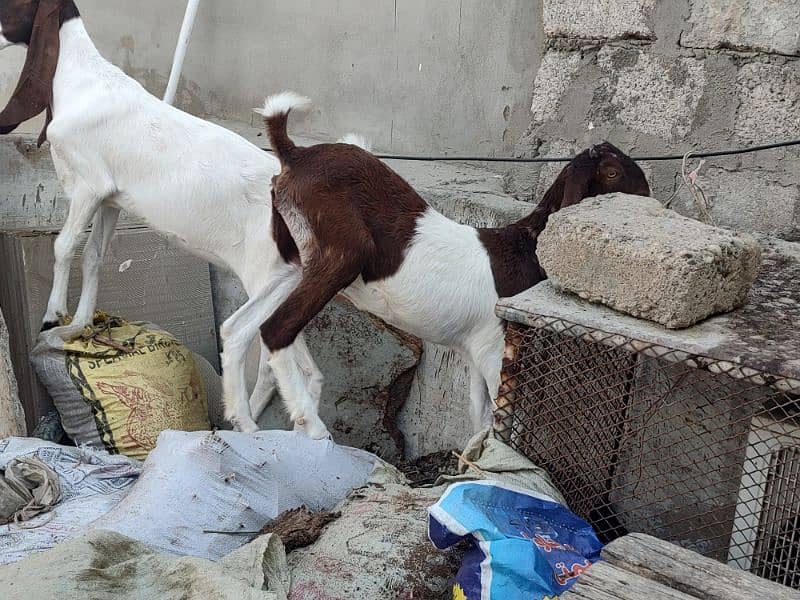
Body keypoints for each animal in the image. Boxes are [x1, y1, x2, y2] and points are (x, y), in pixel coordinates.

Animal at [0, 2, 330, 438]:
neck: (83, 79)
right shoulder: (110, 198)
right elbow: (93, 256)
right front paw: (76, 327)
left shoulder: (90, 184)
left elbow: (63, 245)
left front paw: (52, 316)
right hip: (286, 284)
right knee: (303, 363)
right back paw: (307, 436)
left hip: (272, 275)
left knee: (244, 335)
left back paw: (251, 425)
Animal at [253, 92, 652, 432]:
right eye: (612, 173)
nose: (651, 200)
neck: (525, 247)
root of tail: (295, 155)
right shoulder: (498, 347)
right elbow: (501, 419)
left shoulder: (477, 351)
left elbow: (479, 416)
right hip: (344, 252)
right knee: (275, 328)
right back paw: (309, 423)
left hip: (294, 256)